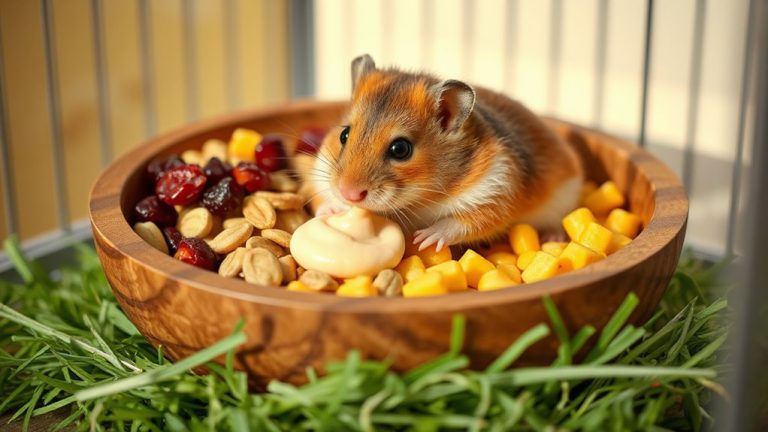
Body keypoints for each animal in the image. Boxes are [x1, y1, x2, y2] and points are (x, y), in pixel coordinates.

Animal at [310, 54, 583, 251]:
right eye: (344, 135)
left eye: (401, 149)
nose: (348, 192)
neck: (420, 200)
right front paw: (331, 210)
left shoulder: (496, 190)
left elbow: (467, 221)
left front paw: (424, 238)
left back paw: (553, 237)